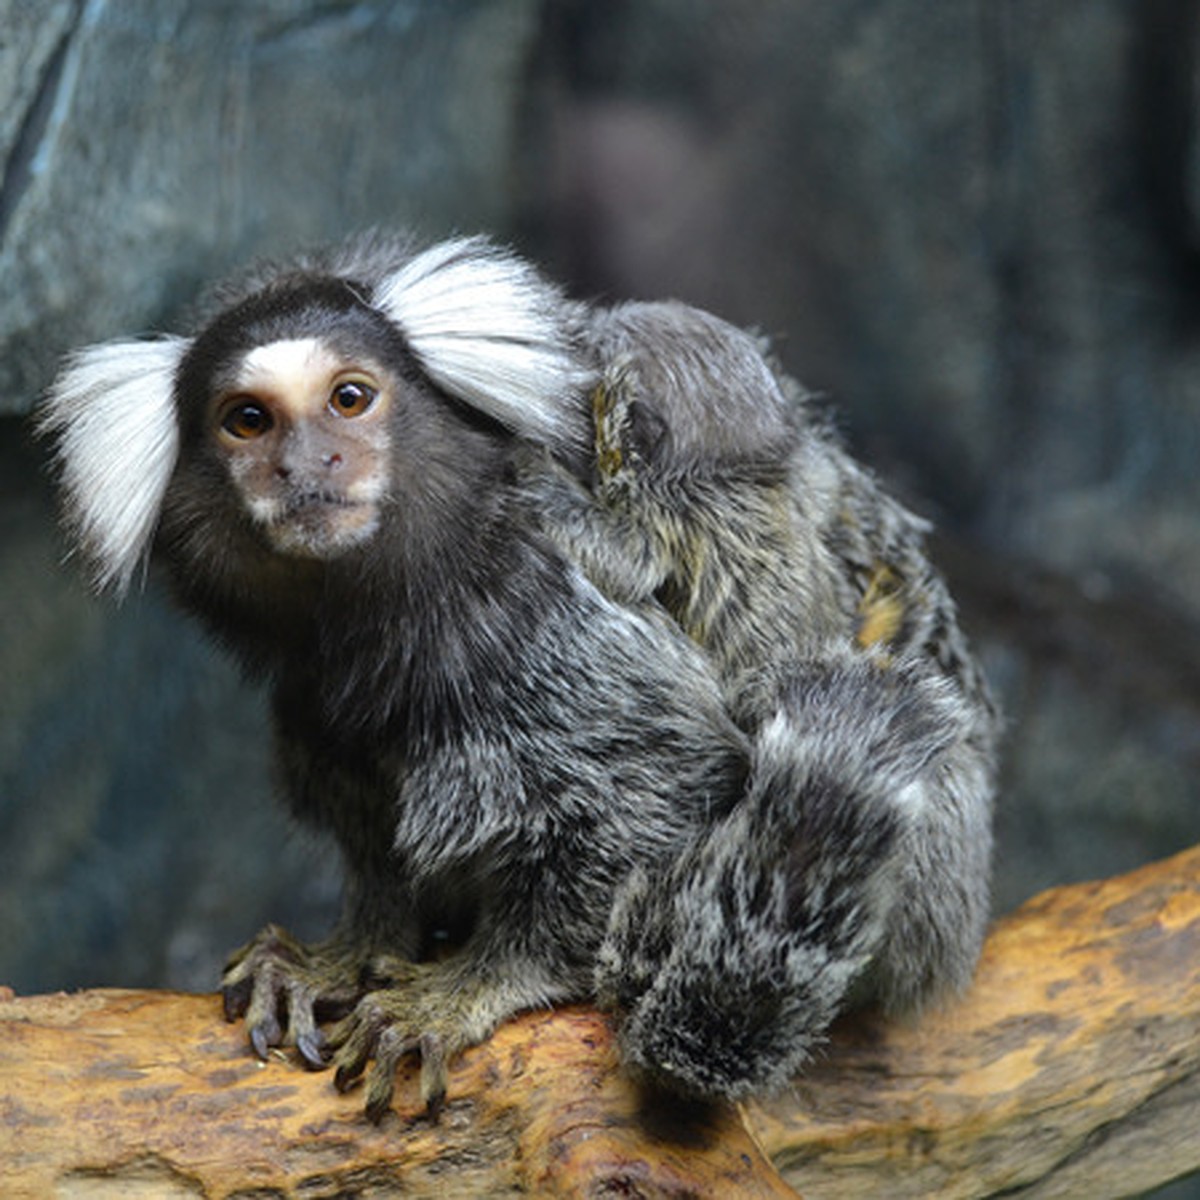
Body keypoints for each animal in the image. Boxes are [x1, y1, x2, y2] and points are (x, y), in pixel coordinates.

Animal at [37, 231, 998, 1113]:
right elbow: (374, 827)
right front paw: (346, 951)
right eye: (248, 420)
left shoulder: (555, 610)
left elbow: (661, 778)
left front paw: (468, 987)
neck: (379, 611)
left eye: (349, 399)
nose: (305, 468)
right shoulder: (317, 686)